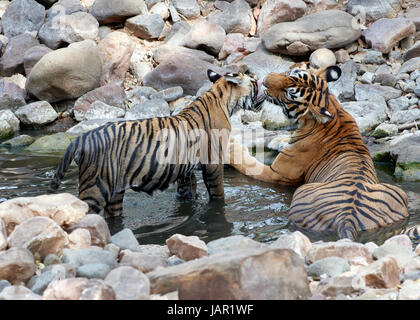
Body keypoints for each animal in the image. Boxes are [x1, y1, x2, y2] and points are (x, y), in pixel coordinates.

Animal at [50, 70, 264, 218]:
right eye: (254, 82)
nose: (262, 84)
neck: (224, 100)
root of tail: (82, 138)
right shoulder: (213, 163)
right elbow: (218, 193)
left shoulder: (185, 170)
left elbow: (187, 192)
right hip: (95, 187)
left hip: (115, 193)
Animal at [230, 65, 420, 240]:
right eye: (291, 73)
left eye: (289, 93)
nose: (265, 80)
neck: (334, 109)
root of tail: (347, 219)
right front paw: (277, 140)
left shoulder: (278, 174)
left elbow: (246, 163)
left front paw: (231, 146)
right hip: (398, 192)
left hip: (303, 190)